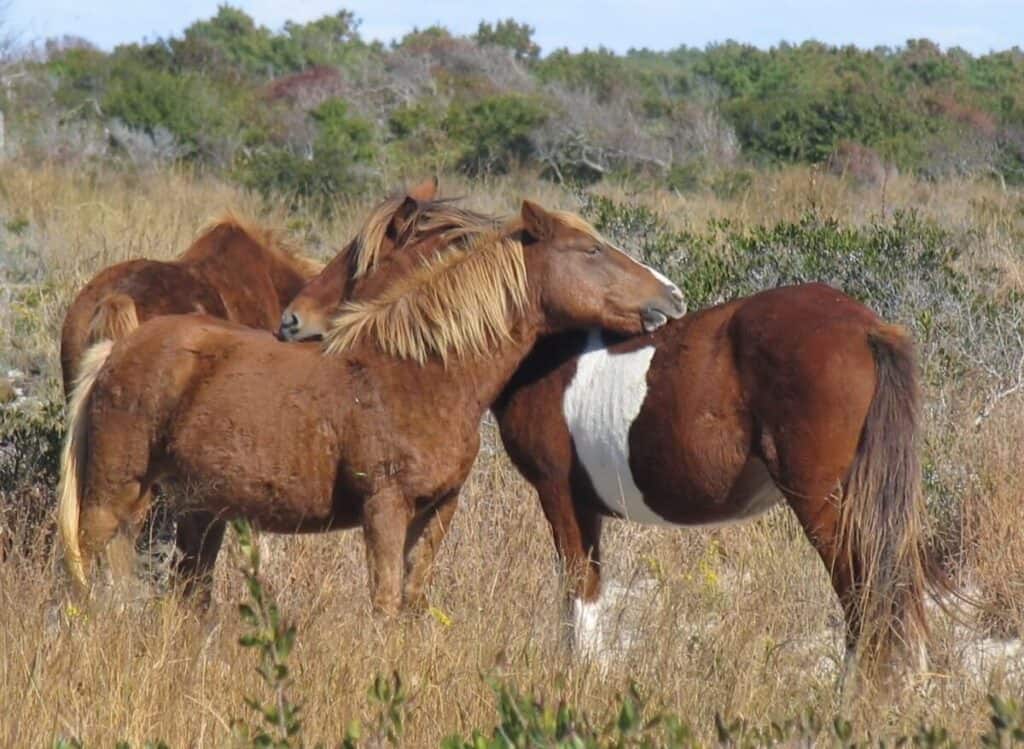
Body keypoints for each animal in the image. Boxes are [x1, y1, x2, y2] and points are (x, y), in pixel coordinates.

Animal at [56, 200, 687, 616]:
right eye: (591, 250)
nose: (673, 295)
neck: (422, 372)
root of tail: (115, 349)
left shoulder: (437, 510)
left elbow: (411, 598)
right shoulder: (384, 507)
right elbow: (383, 602)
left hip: (197, 509)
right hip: (117, 493)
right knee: (91, 561)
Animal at [276, 214, 937, 677]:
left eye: (360, 260)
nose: (291, 320)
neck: (543, 353)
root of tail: (866, 327)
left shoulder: (558, 495)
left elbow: (578, 596)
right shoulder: (586, 507)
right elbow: (587, 591)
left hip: (827, 504)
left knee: (865, 599)